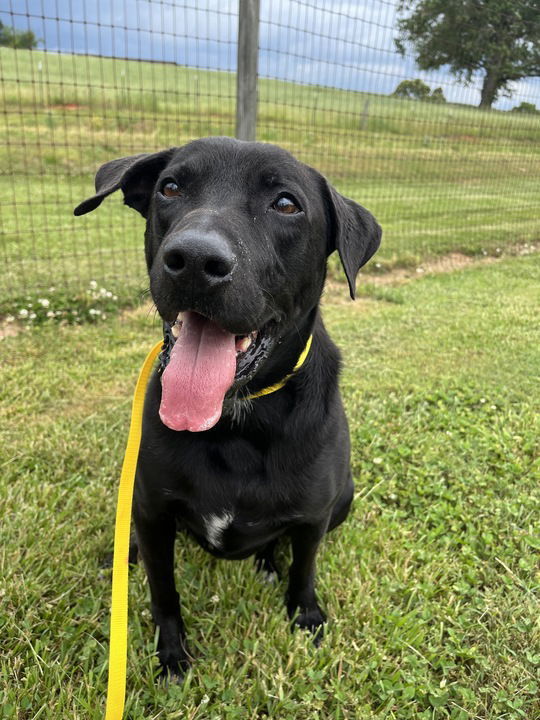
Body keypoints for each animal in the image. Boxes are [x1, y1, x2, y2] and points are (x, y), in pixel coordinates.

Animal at [74, 136, 382, 680]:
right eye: (170, 187)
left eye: (286, 204)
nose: (195, 259)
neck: (236, 418)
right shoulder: (153, 512)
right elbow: (163, 591)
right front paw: (171, 654)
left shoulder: (314, 516)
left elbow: (304, 570)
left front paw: (305, 616)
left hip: (344, 498)